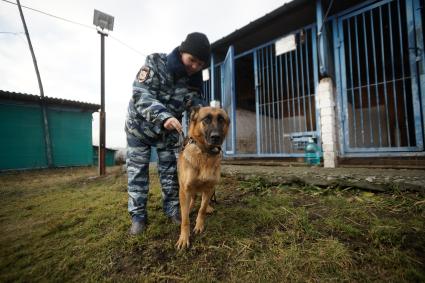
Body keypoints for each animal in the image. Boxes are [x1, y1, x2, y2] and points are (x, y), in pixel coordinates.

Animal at [175, 106, 229, 251]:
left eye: (221, 119)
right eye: (206, 119)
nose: (216, 137)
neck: (205, 153)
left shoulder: (209, 187)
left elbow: (202, 209)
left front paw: (199, 225)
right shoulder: (185, 190)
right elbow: (185, 220)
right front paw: (184, 238)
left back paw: (209, 206)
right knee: (192, 199)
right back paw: (189, 206)